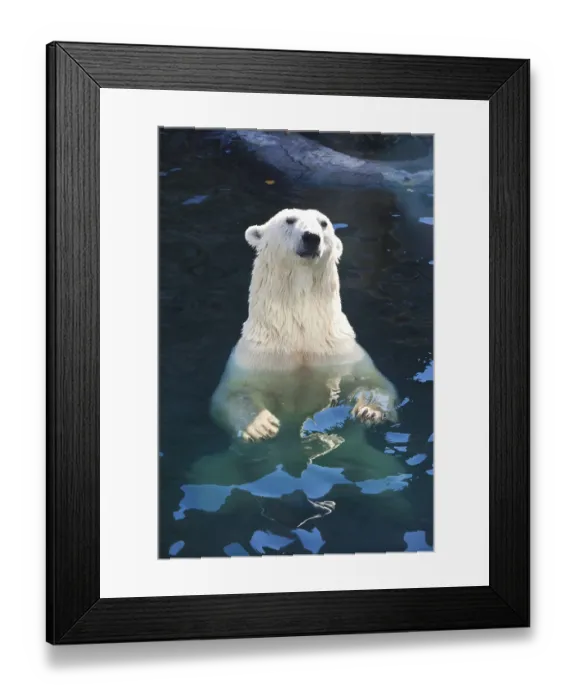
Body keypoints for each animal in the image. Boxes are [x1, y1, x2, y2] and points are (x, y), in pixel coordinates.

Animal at [192, 208, 402, 489]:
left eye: (323, 223)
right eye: (289, 220)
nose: (311, 237)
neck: (300, 336)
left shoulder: (339, 351)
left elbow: (373, 381)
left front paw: (369, 410)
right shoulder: (256, 356)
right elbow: (232, 394)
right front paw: (260, 426)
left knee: (379, 467)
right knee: (213, 470)